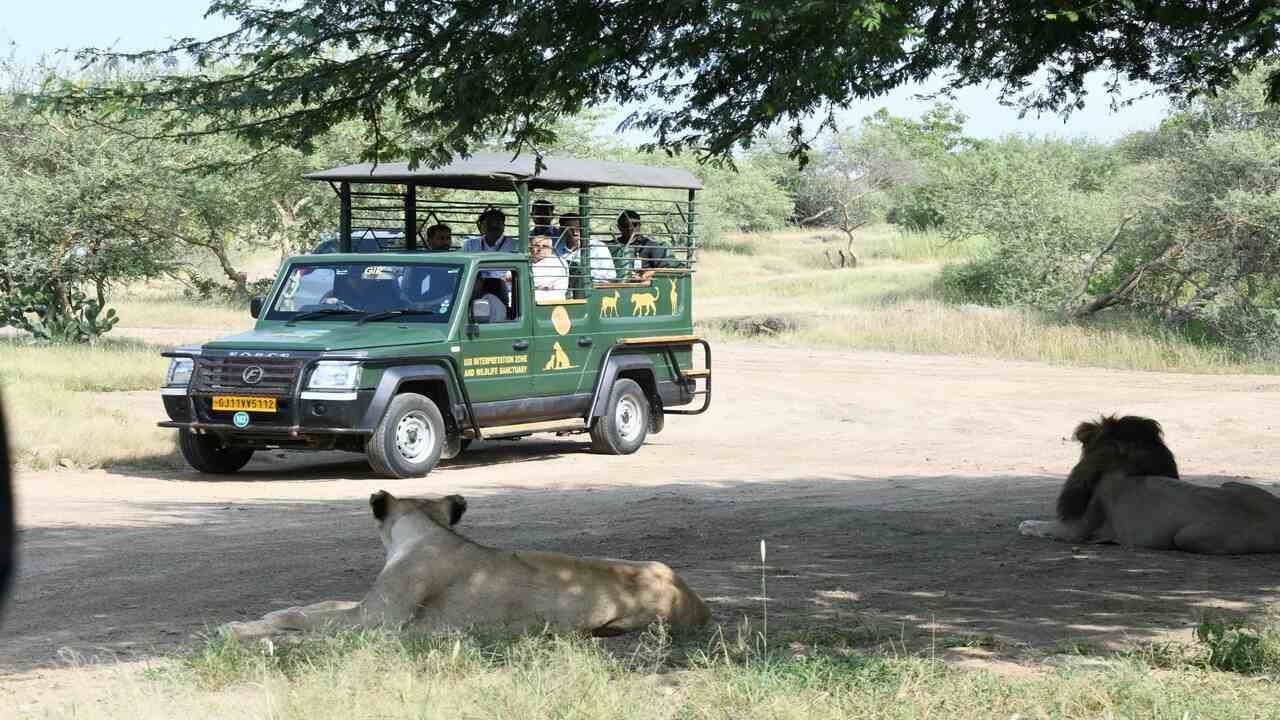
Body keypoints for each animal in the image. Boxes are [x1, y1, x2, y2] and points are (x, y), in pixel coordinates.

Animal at [225, 489, 716, 635]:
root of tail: (699, 603)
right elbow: (316, 605)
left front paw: (238, 628)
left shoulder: (376, 621)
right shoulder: (365, 608)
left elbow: (304, 618)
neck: (427, 529)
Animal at [1018, 412, 1280, 550]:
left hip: (1187, 538)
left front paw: (1025, 524)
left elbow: (1041, 526)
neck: (1123, 466)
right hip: (1232, 485)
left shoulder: (1078, 530)